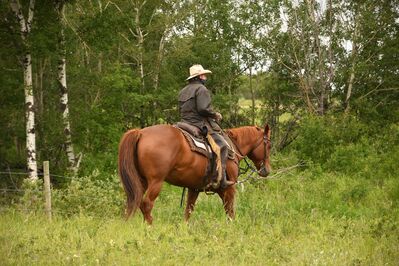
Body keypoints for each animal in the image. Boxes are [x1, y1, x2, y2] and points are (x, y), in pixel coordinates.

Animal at [117, 123, 270, 223]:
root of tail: (141, 133)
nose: (267, 170)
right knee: (146, 204)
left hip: (141, 181)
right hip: (156, 182)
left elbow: (188, 211)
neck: (232, 147)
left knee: (133, 201)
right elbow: (230, 210)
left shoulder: (194, 189)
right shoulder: (228, 188)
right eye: (268, 145)